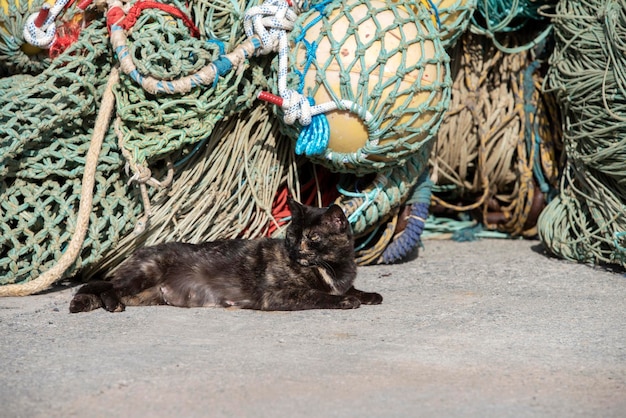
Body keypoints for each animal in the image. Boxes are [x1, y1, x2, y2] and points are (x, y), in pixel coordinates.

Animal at [68, 199, 380, 314]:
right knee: (100, 286)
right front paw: (346, 301)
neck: (333, 268)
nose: (296, 250)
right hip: (144, 272)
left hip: (145, 294)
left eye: (313, 238)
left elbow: (351, 288)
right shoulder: (278, 295)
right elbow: (319, 295)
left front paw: (368, 294)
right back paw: (107, 304)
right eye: (292, 236)